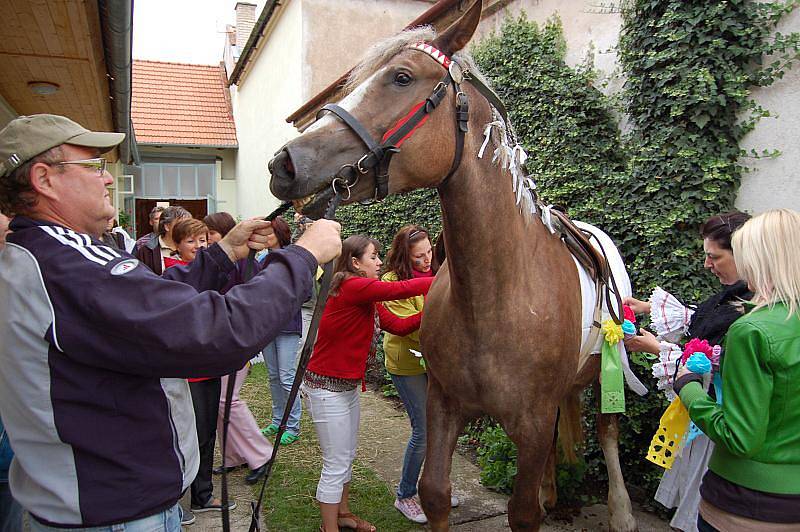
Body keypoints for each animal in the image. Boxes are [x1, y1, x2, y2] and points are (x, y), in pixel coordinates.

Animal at [268, 2, 636, 528]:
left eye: (402, 77)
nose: (285, 163)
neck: (497, 295)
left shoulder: (532, 420)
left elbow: (523, 511)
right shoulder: (444, 406)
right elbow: (435, 492)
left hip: (611, 367)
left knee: (607, 432)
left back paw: (621, 510)